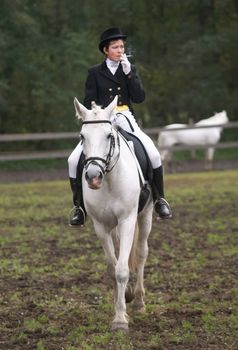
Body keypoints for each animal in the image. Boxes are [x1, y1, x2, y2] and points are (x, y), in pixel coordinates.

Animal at [73, 95, 153, 330]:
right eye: (82, 136)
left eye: (109, 136)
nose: (93, 176)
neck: (109, 180)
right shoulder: (100, 226)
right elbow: (113, 266)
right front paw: (121, 303)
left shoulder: (127, 220)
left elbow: (122, 269)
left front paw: (120, 320)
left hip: (146, 215)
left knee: (141, 252)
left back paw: (139, 301)